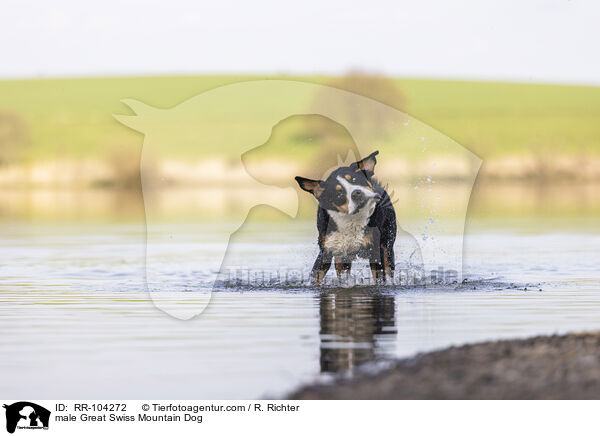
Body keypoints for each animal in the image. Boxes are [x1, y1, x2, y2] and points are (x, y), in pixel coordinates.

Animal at [294, 151, 396, 286]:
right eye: (339, 193)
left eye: (354, 179)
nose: (356, 193)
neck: (351, 219)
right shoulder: (326, 251)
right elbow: (316, 277)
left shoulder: (375, 251)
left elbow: (379, 278)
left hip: (387, 246)